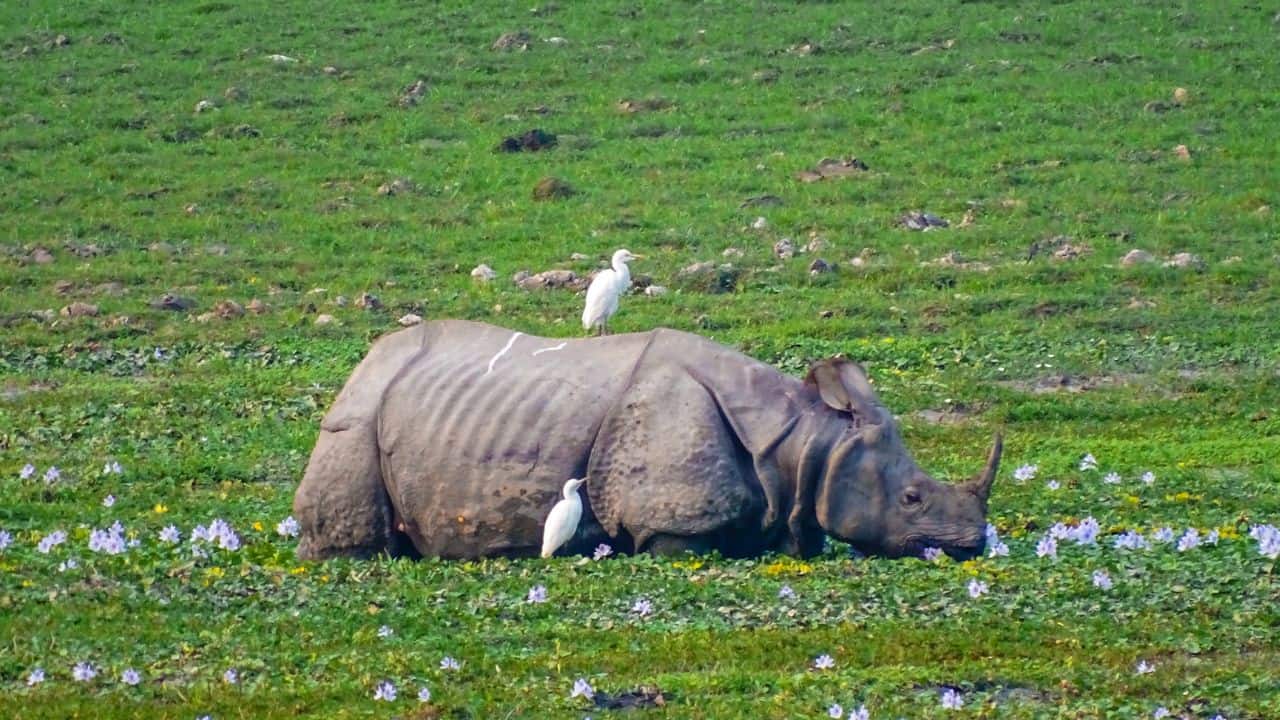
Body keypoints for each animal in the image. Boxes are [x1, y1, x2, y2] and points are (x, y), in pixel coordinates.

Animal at [293, 320, 1002, 561]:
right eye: (911, 499)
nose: (972, 545)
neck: (806, 438)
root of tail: (365, 359)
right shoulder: (671, 520)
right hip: (358, 414)